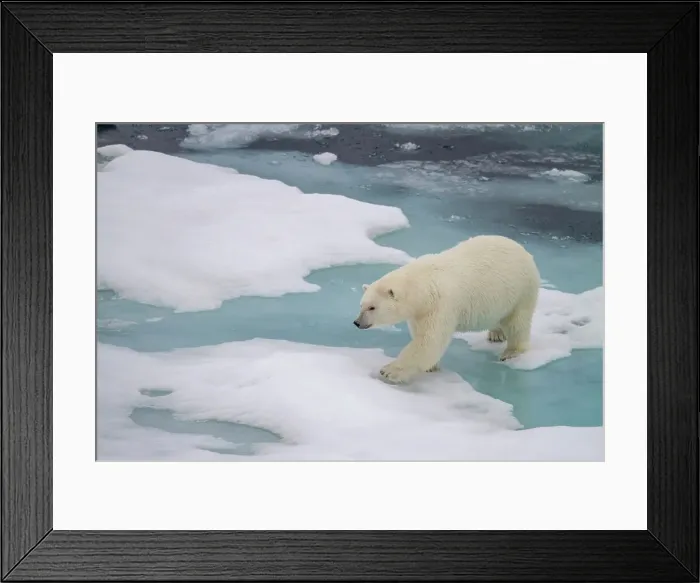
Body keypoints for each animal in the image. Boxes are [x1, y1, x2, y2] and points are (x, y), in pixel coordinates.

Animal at [353, 235, 540, 384]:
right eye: (361, 305)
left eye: (372, 307)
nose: (357, 322)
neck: (424, 284)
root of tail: (523, 250)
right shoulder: (420, 312)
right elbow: (421, 335)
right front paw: (431, 367)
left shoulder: (440, 305)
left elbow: (429, 341)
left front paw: (389, 371)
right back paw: (496, 334)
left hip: (521, 290)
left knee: (517, 322)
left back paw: (511, 351)